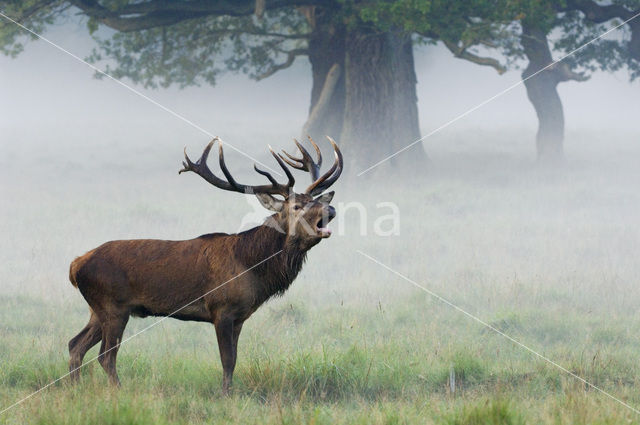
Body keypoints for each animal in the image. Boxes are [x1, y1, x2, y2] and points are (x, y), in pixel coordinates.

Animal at [67, 136, 342, 394]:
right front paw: (225, 395)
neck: (252, 266)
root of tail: (76, 265)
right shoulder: (222, 308)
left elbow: (235, 359)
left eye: (316, 200)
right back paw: (118, 391)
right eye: (296, 206)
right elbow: (227, 360)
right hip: (114, 306)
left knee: (75, 344)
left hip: (97, 309)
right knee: (105, 356)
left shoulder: (240, 317)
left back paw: (76, 389)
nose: (330, 209)